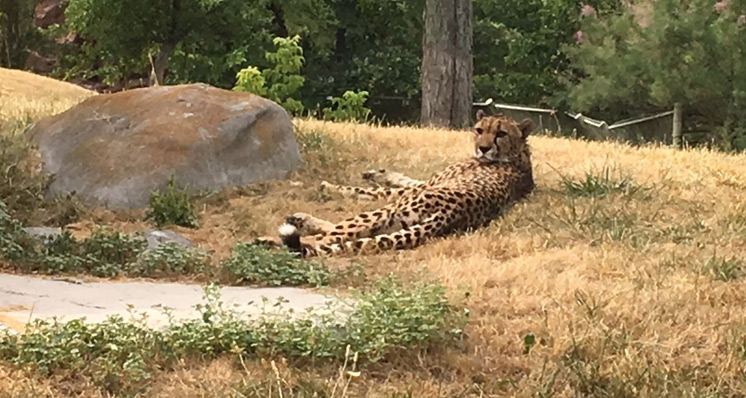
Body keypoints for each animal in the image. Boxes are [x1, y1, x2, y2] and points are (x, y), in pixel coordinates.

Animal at [258, 110, 532, 256]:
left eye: (501, 133)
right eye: (479, 129)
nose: (482, 148)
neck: (517, 155)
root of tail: (453, 214)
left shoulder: (413, 190)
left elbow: (368, 190)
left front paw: (331, 186)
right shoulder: (420, 184)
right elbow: (401, 179)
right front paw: (377, 173)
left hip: (388, 213)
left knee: (328, 238)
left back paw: (270, 239)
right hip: (398, 222)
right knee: (337, 234)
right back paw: (299, 222)